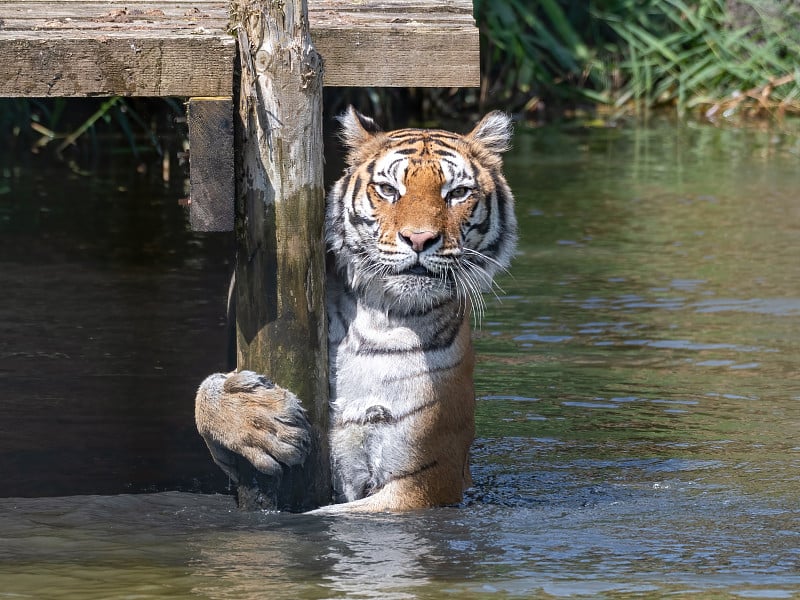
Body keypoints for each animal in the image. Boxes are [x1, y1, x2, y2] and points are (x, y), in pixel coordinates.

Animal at [196, 106, 516, 510]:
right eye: (388, 189)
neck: (379, 318)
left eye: (457, 193)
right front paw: (257, 418)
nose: (419, 239)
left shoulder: (422, 481)